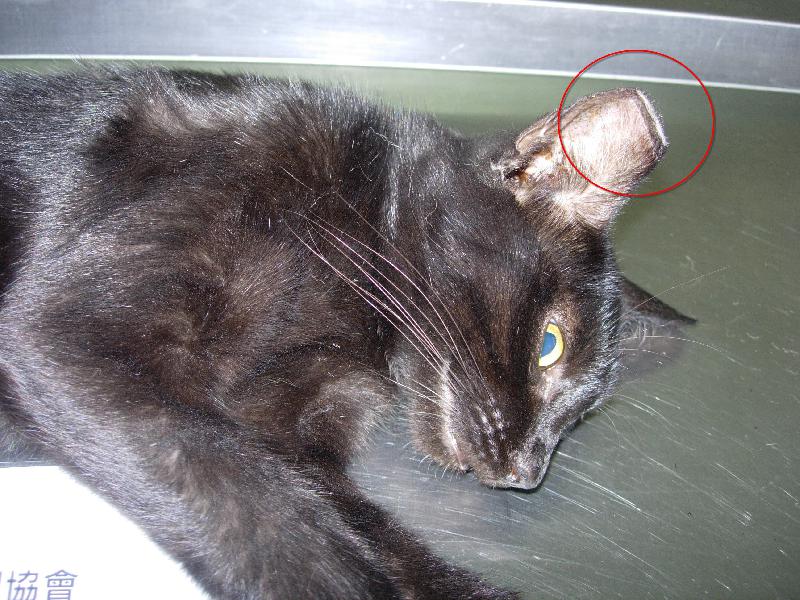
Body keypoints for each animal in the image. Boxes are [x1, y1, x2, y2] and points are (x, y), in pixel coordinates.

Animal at [0, 67, 693, 599]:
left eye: (579, 418)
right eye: (550, 345)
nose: (528, 472)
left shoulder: (291, 436)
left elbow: (357, 527)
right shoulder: (73, 332)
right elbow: (259, 514)